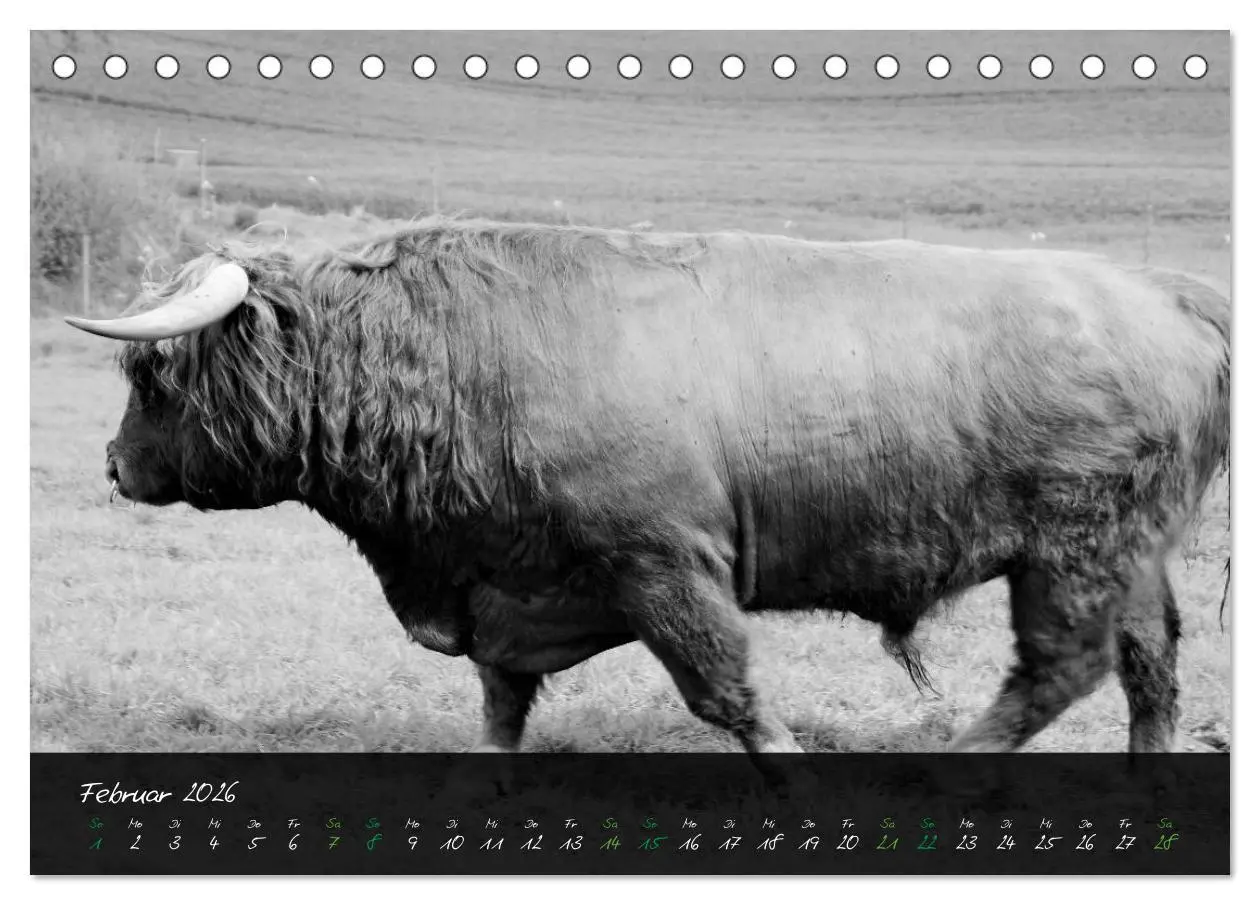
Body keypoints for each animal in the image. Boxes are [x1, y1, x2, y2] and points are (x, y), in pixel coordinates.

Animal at [65, 220, 1230, 765]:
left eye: (153, 373)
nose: (115, 464)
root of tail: (1162, 292)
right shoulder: (510, 586)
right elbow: (501, 701)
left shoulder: (665, 565)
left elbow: (728, 693)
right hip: (1129, 555)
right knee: (1150, 666)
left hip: (1070, 551)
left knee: (1063, 668)